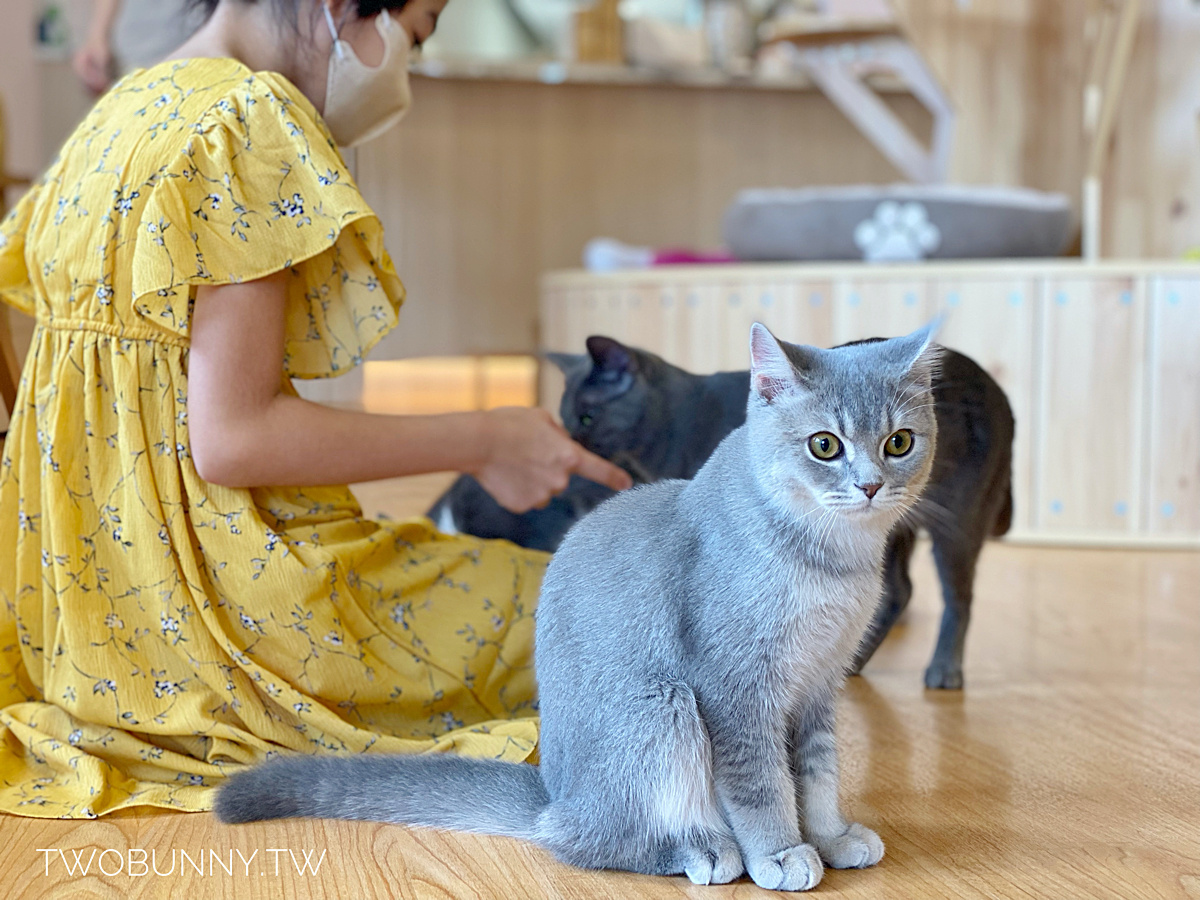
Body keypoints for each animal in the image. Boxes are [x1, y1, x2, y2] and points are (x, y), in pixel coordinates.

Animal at [218, 324, 945, 897]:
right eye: (824, 446)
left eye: (900, 442)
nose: (870, 486)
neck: (831, 561)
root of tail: (553, 795)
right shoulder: (736, 690)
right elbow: (763, 782)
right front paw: (782, 852)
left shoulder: (819, 683)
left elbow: (817, 774)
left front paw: (829, 836)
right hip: (662, 710)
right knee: (594, 845)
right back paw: (706, 851)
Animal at [432, 331, 1012, 691]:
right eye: (564, 417)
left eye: (587, 417)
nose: (569, 445)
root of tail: (999, 391)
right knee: (899, 592)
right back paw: (852, 662)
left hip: (956, 519)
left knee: (958, 598)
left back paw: (943, 671)